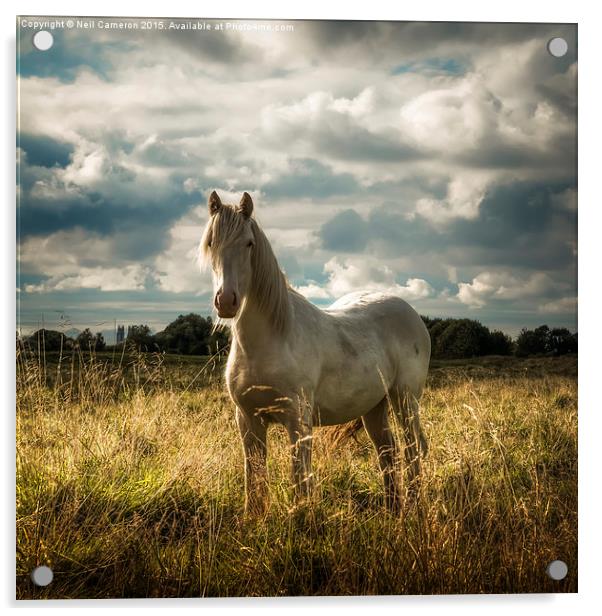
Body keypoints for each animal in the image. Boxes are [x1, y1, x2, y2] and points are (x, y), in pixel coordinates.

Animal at [199, 190, 428, 512]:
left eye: (249, 243)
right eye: (211, 242)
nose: (227, 302)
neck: (272, 340)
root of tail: (412, 313)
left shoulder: (298, 422)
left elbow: (300, 481)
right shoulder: (248, 420)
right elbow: (254, 481)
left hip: (405, 399)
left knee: (413, 449)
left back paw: (414, 509)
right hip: (375, 406)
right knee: (387, 451)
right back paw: (393, 510)